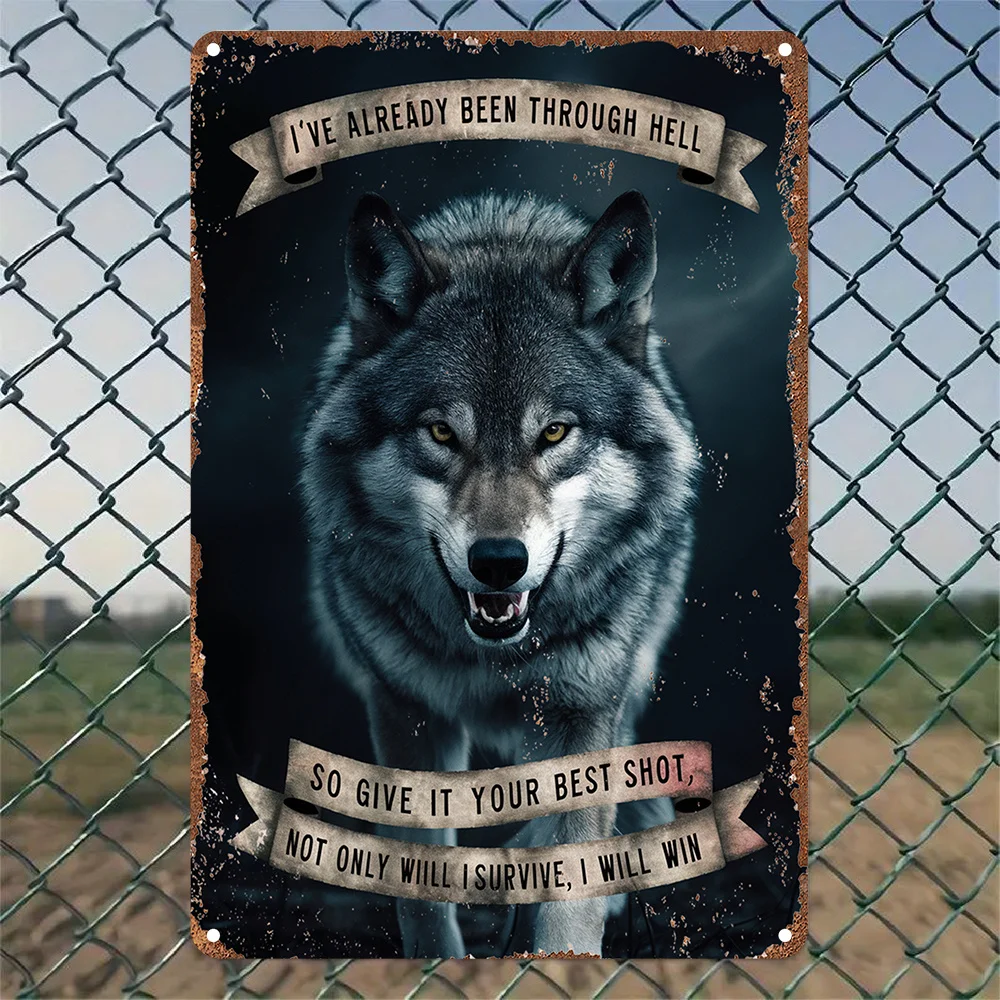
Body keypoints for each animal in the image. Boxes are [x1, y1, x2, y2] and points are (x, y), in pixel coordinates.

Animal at [299, 188, 700, 958]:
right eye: (441, 433)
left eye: (554, 433)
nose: (497, 561)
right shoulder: (404, 709)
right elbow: (421, 894)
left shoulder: (586, 707)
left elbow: (572, 887)